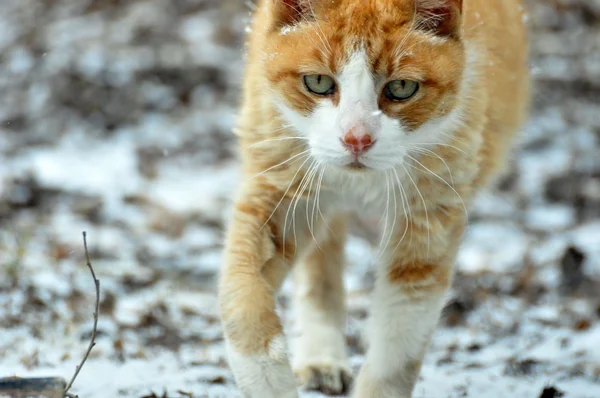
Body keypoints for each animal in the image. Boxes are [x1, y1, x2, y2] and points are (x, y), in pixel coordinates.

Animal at [218, 1, 528, 396]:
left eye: (402, 87)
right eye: (318, 82)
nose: (357, 139)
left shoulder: (430, 217)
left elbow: (399, 339)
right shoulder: (276, 188)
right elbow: (242, 285)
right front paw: (268, 380)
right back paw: (321, 356)